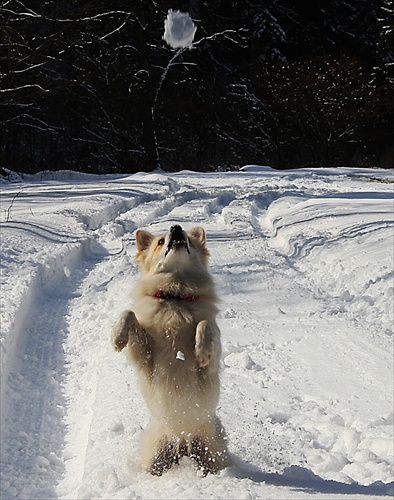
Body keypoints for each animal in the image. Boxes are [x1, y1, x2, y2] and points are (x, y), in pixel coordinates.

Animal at [111, 225, 228, 474]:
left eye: (189, 240)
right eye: (160, 241)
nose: (176, 227)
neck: (176, 297)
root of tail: (182, 442)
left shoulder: (210, 368)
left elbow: (205, 325)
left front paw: (201, 350)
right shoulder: (144, 358)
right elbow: (128, 313)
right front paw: (117, 337)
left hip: (213, 453)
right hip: (154, 457)